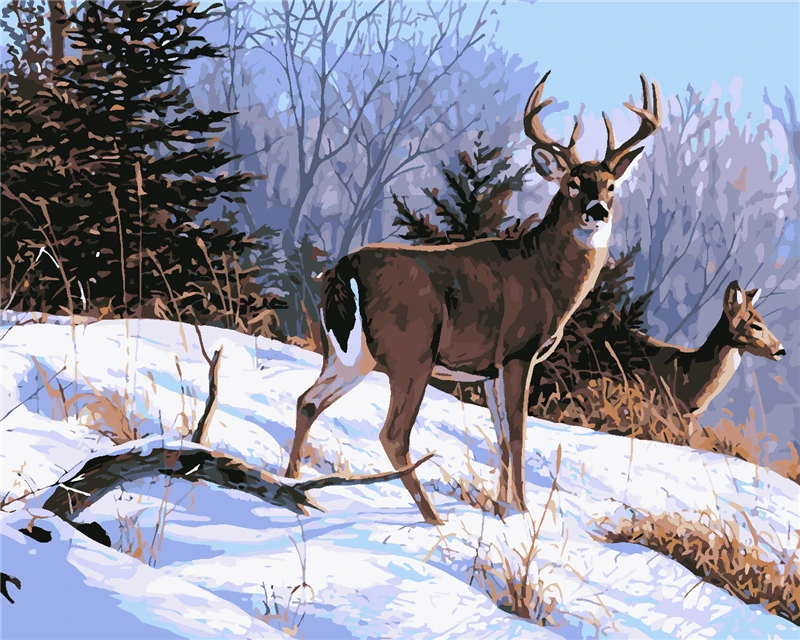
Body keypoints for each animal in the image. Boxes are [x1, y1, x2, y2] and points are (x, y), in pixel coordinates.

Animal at [284, 72, 662, 525]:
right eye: (572, 184)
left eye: (610, 184)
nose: (598, 211)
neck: (545, 274)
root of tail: (344, 266)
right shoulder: (518, 352)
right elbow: (517, 435)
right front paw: (522, 512)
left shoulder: (488, 370)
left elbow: (499, 438)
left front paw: (502, 509)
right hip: (411, 351)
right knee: (393, 434)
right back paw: (432, 518)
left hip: (348, 354)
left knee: (307, 401)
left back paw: (291, 481)